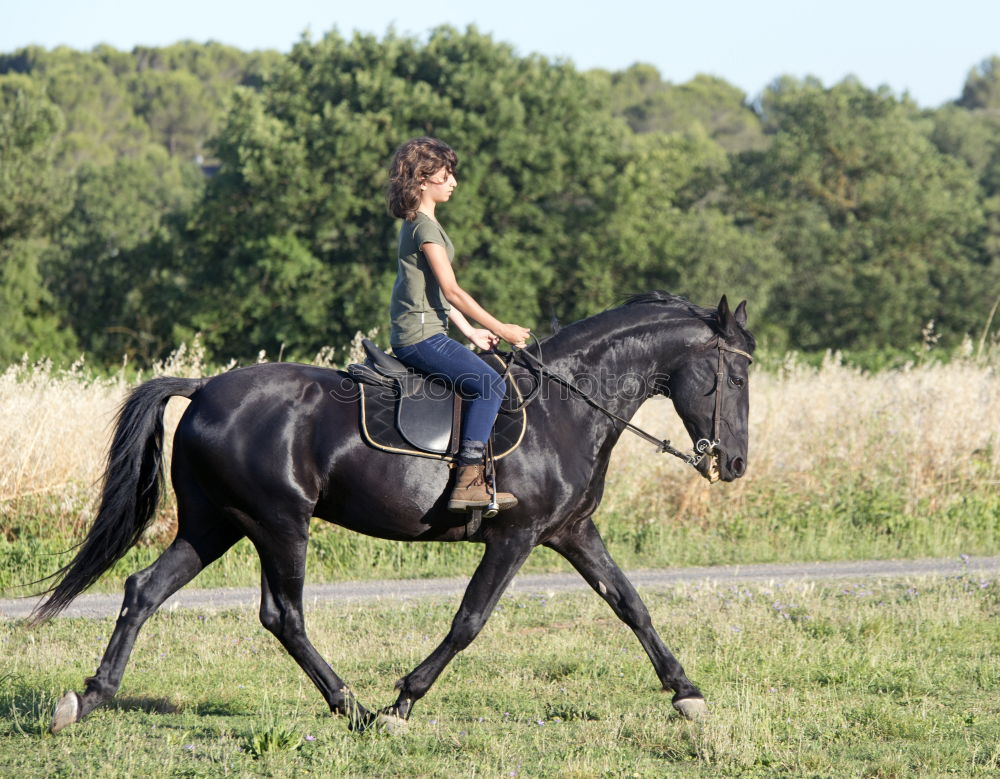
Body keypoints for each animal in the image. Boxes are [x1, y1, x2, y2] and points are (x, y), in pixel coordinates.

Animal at [37, 290, 756, 732]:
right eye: (738, 376)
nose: (735, 463)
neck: (566, 409)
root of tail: (205, 387)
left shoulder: (572, 531)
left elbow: (631, 604)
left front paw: (686, 691)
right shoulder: (516, 536)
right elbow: (469, 621)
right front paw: (402, 702)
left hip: (215, 525)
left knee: (144, 589)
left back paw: (89, 696)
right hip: (278, 524)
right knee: (283, 615)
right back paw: (354, 707)